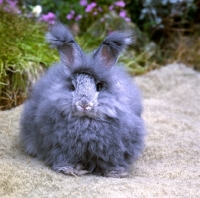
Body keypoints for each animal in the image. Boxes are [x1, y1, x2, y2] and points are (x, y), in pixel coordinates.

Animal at [19, 22, 145, 178]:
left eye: (99, 86)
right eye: (72, 86)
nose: (84, 104)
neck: (86, 121)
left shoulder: (114, 151)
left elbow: (110, 163)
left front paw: (115, 172)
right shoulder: (61, 148)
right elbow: (65, 159)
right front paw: (71, 170)